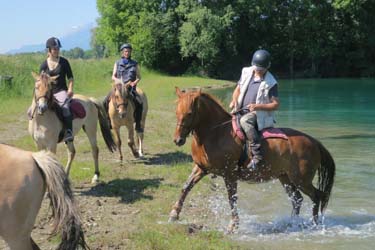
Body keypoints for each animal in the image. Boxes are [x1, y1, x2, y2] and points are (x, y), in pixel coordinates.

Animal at [169, 88, 336, 232]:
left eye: (189, 113)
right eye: (176, 112)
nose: (178, 140)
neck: (215, 133)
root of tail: (314, 142)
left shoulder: (229, 174)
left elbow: (232, 198)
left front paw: (233, 225)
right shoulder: (201, 168)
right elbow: (186, 186)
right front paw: (174, 214)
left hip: (301, 179)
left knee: (317, 196)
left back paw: (314, 224)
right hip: (286, 178)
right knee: (298, 199)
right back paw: (292, 223)